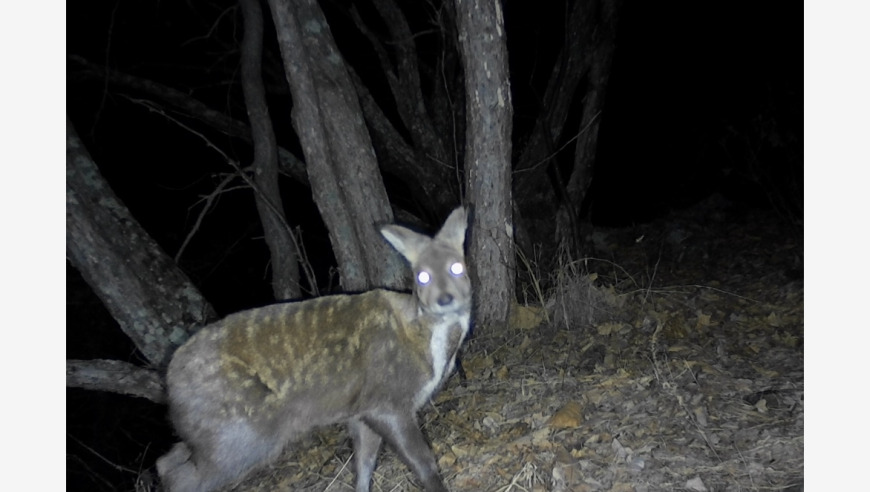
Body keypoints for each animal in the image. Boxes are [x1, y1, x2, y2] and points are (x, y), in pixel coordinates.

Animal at [157, 208, 470, 492]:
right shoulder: (387, 399)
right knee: (182, 477)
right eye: (421, 276)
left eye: (457, 267)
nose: (444, 298)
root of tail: (169, 381)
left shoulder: (361, 409)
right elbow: (423, 461)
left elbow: (364, 462)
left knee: (167, 460)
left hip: (213, 436)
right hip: (240, 434)